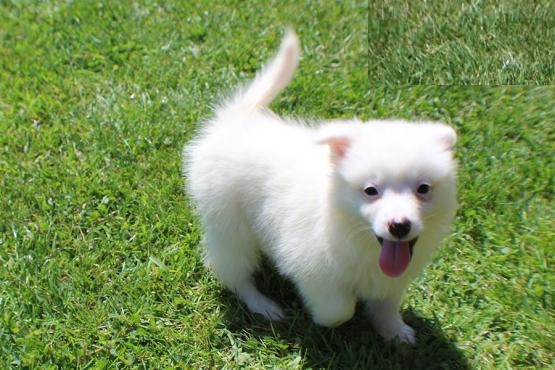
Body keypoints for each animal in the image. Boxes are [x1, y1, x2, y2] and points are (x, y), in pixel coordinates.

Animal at [185, 31, 458, 344]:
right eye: (370, 191)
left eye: (423, 188)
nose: (399, 226)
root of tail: (236, 119)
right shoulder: (312, 268)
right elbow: (339, 309)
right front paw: (324, 319)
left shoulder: (393, 275)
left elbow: (386, 303)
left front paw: (394, 330)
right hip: (229, 226)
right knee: (234, 272)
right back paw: (262, 304)